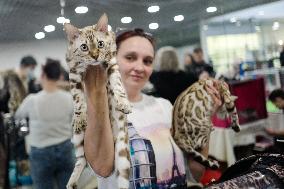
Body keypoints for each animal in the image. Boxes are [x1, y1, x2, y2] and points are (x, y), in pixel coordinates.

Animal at [64, 13, 131, 189]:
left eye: (100, 44)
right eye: (84, 47)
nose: (94, 56)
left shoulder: (112, 63)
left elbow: (118, 85)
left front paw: (123, 102)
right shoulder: (74, 73)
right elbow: (78, 99)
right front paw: (80, 117)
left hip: (121, 149)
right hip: (78, 138)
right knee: (82, 159)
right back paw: (72, 182)